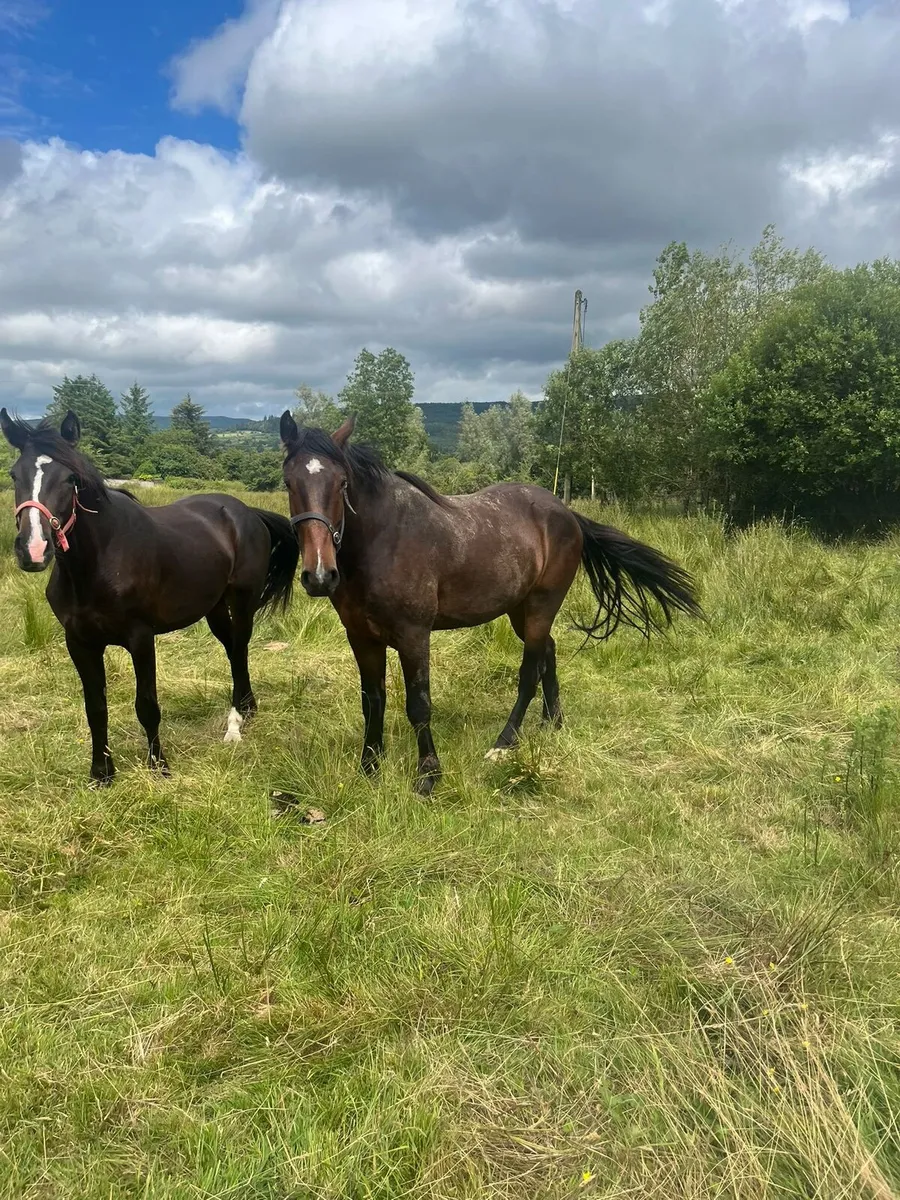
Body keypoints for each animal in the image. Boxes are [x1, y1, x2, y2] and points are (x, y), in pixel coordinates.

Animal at [1, 408, 299, 786]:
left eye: (70, 479)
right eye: (14, 475)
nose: (33, 550)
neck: (98, 564)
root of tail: (246, 512)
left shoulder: (141, 638)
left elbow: (146, 705)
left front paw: (159, 765)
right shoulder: (79, 642)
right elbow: (95, 708)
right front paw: (101, 773)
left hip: (242, 600)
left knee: (242, 645)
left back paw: (237, 719)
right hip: (214, 608)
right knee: (233, 649)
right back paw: (247, 708)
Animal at [279, 412, 703, 795]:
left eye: (342, 482)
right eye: (288, 482)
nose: (320, 575)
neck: (383, 541)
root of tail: (565, 513)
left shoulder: (413, 636)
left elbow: (419, 705)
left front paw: (428, 775)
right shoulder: (361, 637)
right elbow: (373, 701)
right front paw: (369, 768)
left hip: (540, 607)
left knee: (530, 672)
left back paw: (504, 744)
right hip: (521, 610)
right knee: (548, 653)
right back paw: (552, 723)